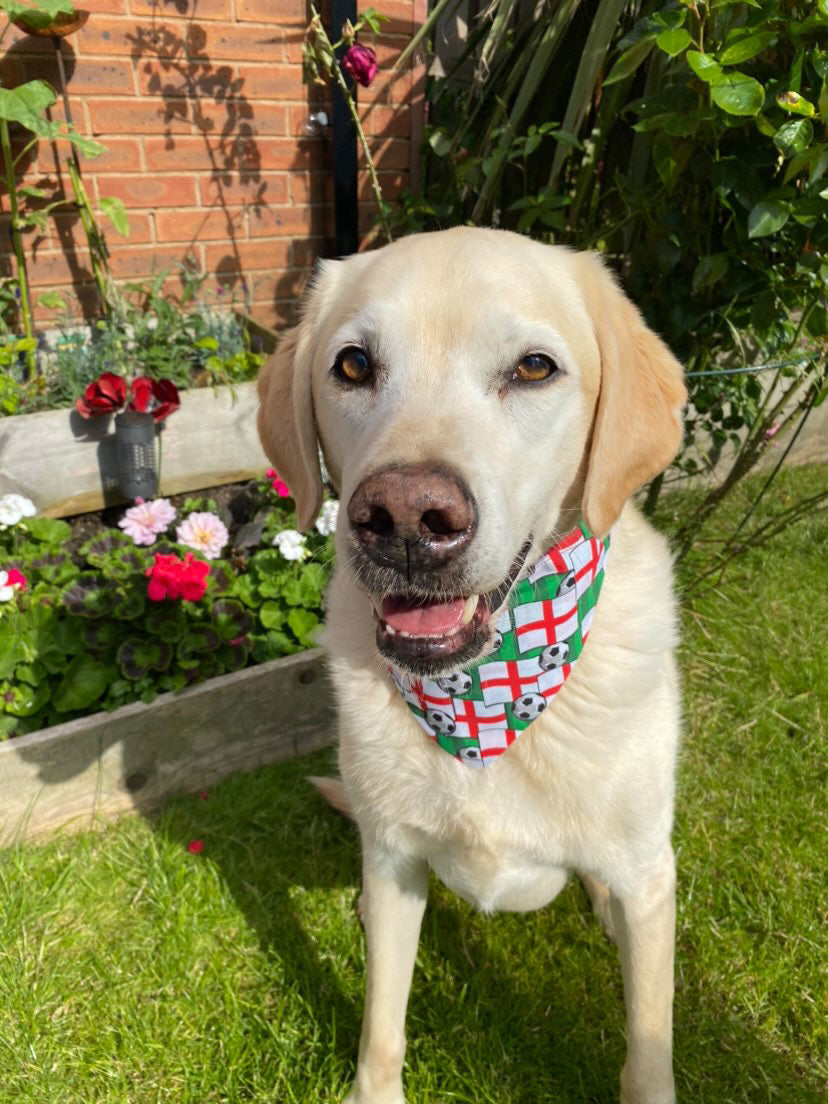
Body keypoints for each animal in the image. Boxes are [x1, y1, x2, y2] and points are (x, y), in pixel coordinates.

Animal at [259, 226, 688, 1104]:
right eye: (353, 365)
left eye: (534, 368)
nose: (404, 519)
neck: (488, 694)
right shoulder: (395, 859)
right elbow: (382, 1027)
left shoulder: (647, 878)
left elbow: (647, 1048)